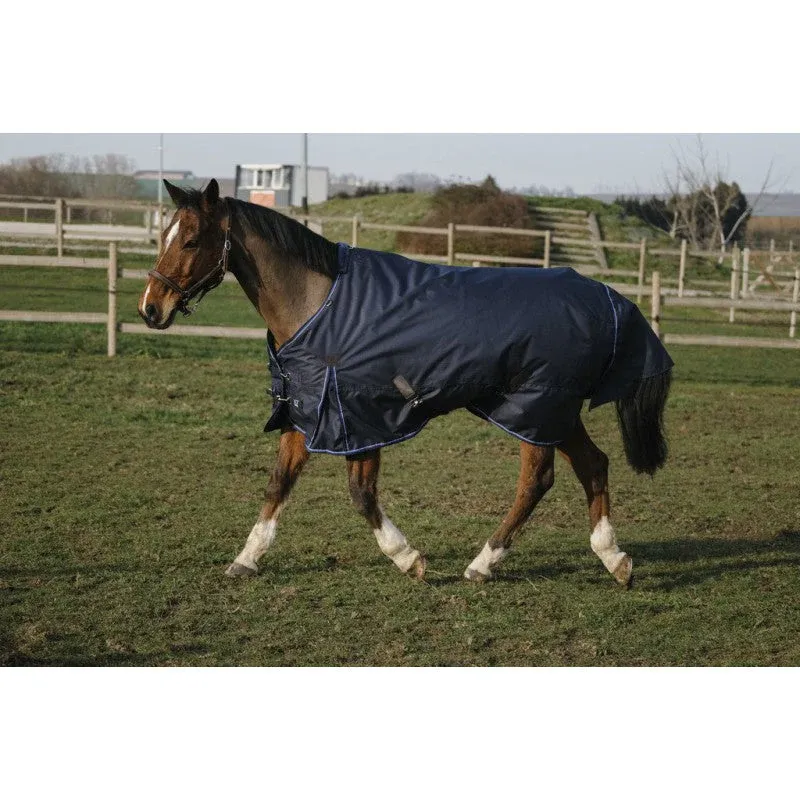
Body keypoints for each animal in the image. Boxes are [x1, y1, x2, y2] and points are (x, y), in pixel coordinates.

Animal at [138, 179, 673, 587]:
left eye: (190, 240)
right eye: (161, 235)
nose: (150, 308)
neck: (320, 305)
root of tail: (607, 298)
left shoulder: (359, 419)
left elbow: (361, 494)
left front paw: (408, 558)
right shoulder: (306, 410)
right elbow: (278, 483)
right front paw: (247, 559)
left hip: (534, 410)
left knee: (537, 481)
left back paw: (484, 563)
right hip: (552, 412)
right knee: (594, 465)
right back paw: (613, 559)